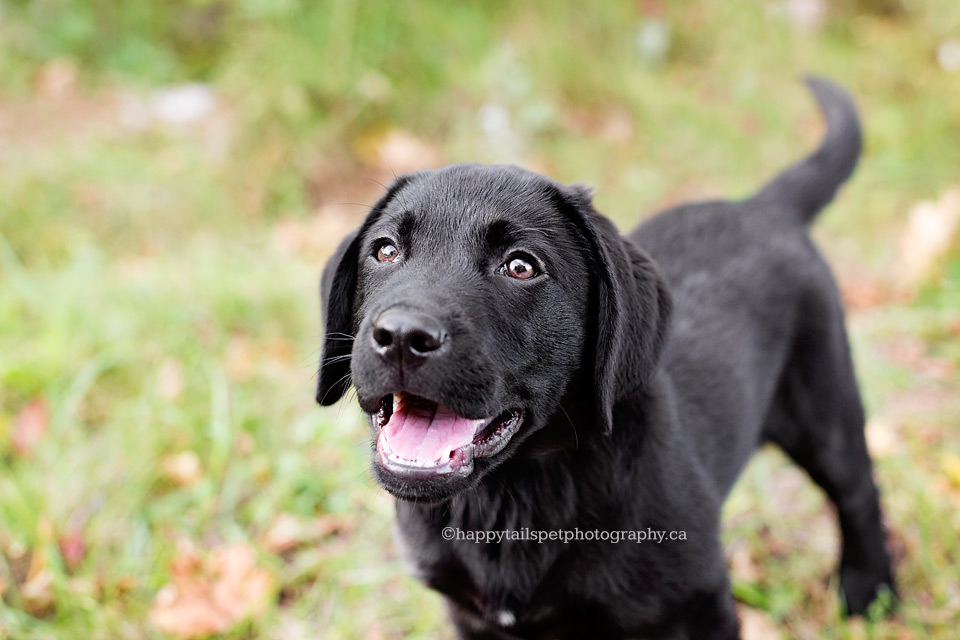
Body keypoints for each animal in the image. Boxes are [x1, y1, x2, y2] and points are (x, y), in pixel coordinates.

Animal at [318, 79, 896, 640]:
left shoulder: (700, 606)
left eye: (521, 266)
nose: (400, 335)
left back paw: (870, 593)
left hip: (823, 403)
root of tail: (762, 206)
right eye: (385, 250)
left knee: (858, 490)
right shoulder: (471, 616)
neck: (512, 496)